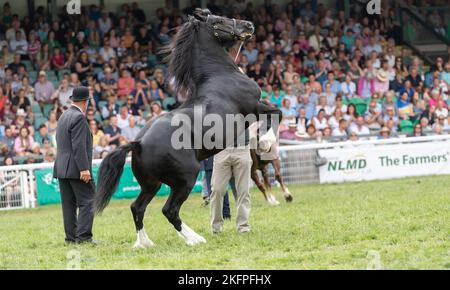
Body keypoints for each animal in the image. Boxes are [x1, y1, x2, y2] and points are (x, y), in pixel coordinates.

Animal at [93, 10, 280, 248]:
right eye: (218, 21)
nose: (248, 25)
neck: (221, 76)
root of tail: (139, 143)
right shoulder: (255, 107)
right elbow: (276, 114)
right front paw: (265, 142)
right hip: (185, 178)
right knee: (169, 210)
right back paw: (195, 239)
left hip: (151, 184)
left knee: (137, 207)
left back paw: (145, 243)